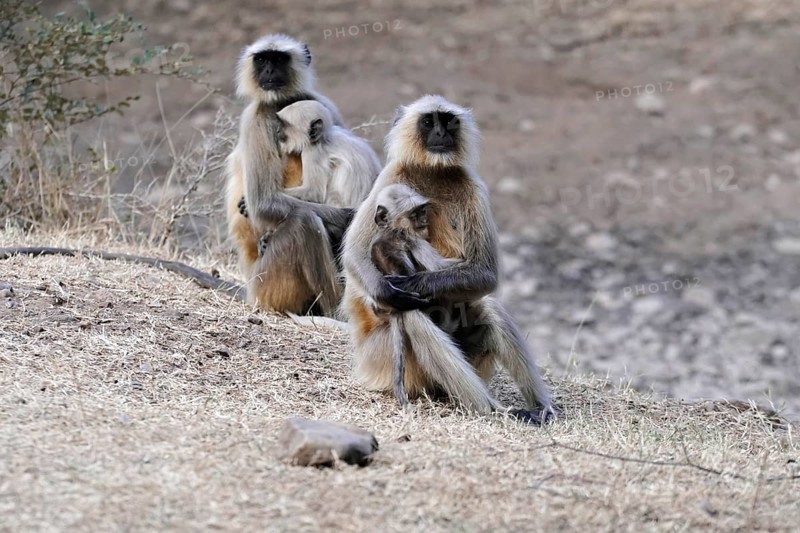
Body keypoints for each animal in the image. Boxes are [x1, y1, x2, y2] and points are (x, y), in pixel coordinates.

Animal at [225, 34, 353, 316]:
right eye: (263, 60)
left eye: (279, 59)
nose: (269, 71)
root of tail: (249, 291)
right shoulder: (256, 118)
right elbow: (263, 202)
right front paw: (345, 218)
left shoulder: (325, 104)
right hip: (268, 284)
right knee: (303, 221)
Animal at [369, 184, 462, 407]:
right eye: (414, 214)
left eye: (421, 211)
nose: (423, 220)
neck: (389, 230)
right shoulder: (409, 237)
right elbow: (439, 266)